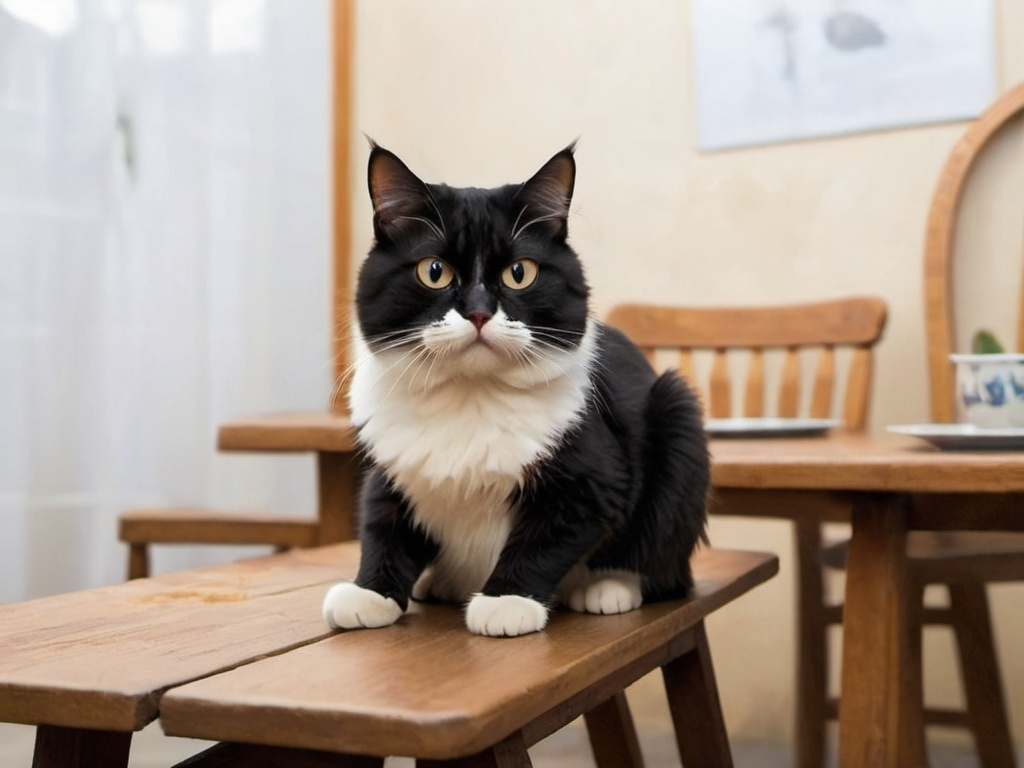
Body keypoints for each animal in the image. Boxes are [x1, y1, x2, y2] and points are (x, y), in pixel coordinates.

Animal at [323, 143, 708, 638]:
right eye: (434, 271)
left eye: (519, 273)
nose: (479, 312)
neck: (469, 395)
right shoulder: (392, 464)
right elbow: (382, 523)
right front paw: (369, 592)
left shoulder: (591, 481)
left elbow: (546, 537)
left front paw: (506, 601)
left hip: (677, 418)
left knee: (661, 559)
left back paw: (610, 587)